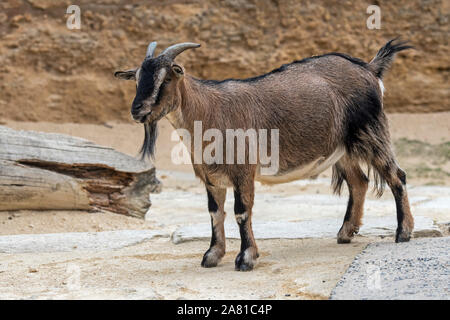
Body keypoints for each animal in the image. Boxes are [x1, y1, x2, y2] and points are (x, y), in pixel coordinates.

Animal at [116, 38, 414, 272]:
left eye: (166, 78)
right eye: (138, 79)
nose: (138, 110)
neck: (208, 111)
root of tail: (370, 69)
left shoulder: (243, 172)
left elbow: (241, 212)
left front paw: (246, 258)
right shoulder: (211, 178)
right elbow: (215, 213)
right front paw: (212, 255)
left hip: (371, 131)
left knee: (396, 176)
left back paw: (403, 232)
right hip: (343, 149)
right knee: (359, 182)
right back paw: (345, 233)